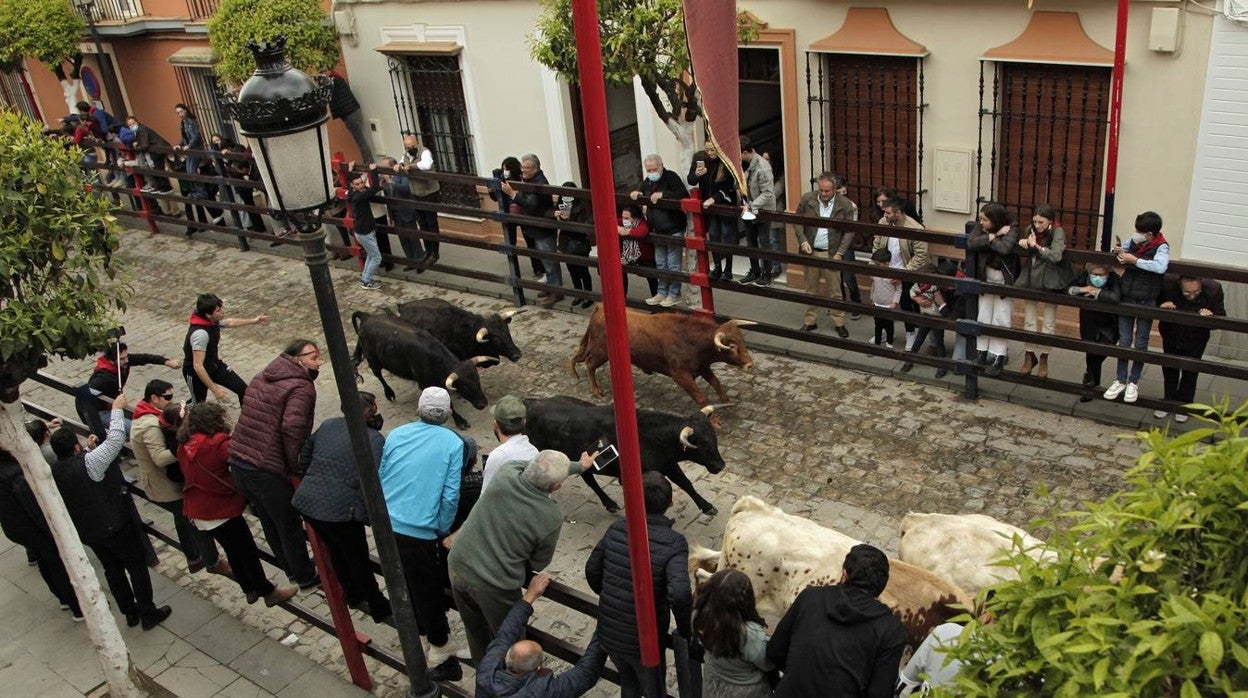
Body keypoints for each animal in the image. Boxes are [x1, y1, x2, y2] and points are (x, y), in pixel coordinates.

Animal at [521, 399, 728, 514]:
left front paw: (707, 506)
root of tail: (532, 403)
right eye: (701, 445)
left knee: (588, 478)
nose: (720, 465)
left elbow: (686, 483)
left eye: (714, 438)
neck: (653, 436)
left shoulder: (668, 464)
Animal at [571, 305, 753, 409]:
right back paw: (596, 390)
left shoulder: (702, 366)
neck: (689, 339)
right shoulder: (680, 375)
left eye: (743, 341)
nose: (750, 365)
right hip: (601, 351)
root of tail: (600, 309)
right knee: (589, 364)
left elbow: (716, 382)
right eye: (732, 347)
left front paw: (727, 403)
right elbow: (701, 397)